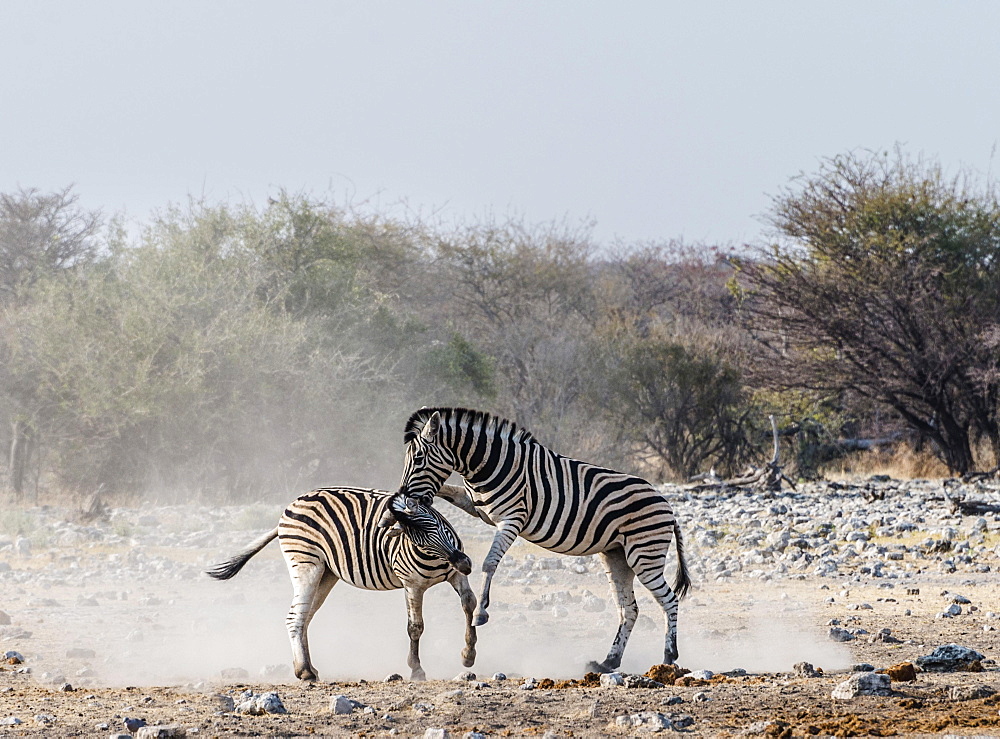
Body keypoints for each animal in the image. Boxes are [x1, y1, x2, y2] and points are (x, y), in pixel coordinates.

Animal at [205, 486, 478, 684]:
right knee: (294, 617)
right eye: (418, 539)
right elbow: (415, 627)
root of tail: (291, 505)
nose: (464, 563)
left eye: (436, 524)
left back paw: (309, 668)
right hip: (306, 565)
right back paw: (304, 672)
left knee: (305, 617)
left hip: (325, 574)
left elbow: (469, 604)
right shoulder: (412, 584)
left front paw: (468, 655)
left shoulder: (455, 576)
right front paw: (417, 669)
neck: (437, 557)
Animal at [394, 408, 692, 672]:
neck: (489, 464)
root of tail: (667, 506)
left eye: (418, 458)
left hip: (644, 554)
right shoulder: (475, 505)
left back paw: (669, 657)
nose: (406, 496)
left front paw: (481, 612)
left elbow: (489, 563)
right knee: (629, 609)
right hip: (617, 556)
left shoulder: (511, 519)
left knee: (669, 600)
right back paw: (608, 662)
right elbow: (447, 489)